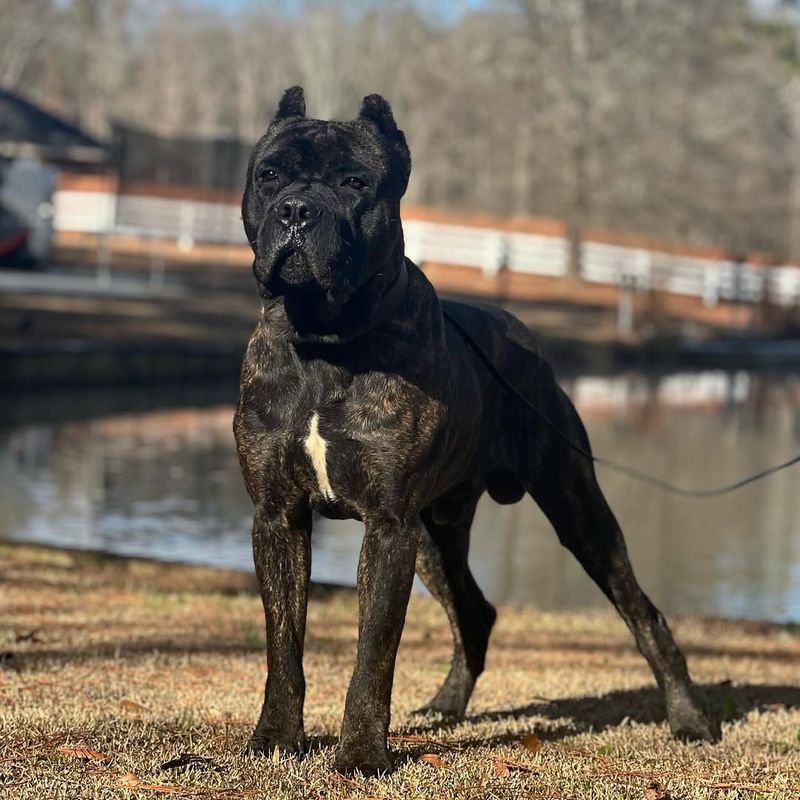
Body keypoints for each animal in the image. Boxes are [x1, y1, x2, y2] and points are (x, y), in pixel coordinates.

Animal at [233, 87, 720, 776]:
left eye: (355, 183)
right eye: (270, 175)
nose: (299, 209)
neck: (325, 341)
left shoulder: (387, 526)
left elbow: (373, 655)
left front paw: (360, 754)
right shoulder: (279, 516)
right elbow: (284, 647)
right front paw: (275, 739)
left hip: (575, 510)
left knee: (643, 613)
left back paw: (690, 719)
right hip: (434, 536)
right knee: (475, 611)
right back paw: (445, 706)